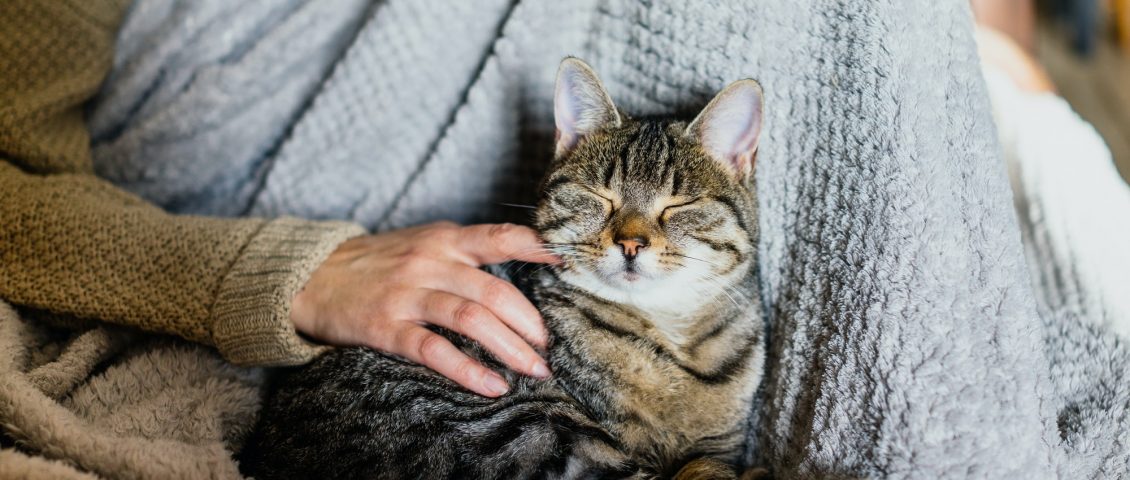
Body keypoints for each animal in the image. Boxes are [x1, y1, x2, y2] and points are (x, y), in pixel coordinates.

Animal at [238, 57, 768, 478]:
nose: (631, 243)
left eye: (679, 205)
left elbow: (710, 460)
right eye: (599, 196)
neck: (672, 337)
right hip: (523, 421)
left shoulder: (720, 442)